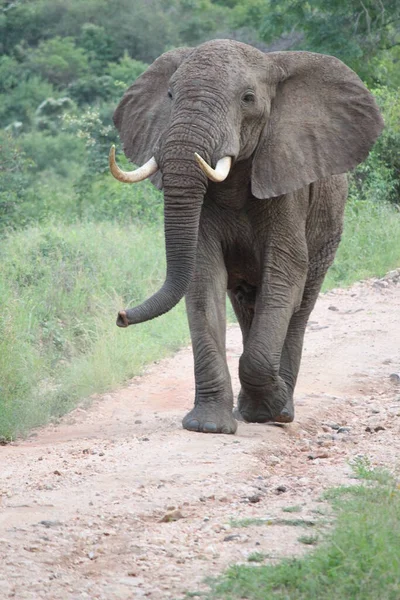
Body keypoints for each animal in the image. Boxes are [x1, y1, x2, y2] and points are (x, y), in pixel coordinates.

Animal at [108, 39, 382, 434]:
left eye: (248, 99)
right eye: (171, 95)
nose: (121, 316)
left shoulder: (287, 178)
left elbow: (285, 273)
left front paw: (272, 408)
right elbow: (204, 278)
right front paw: (209, 426)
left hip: (329, 230)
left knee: (300, 304)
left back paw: (280, 409)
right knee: (246, 301)